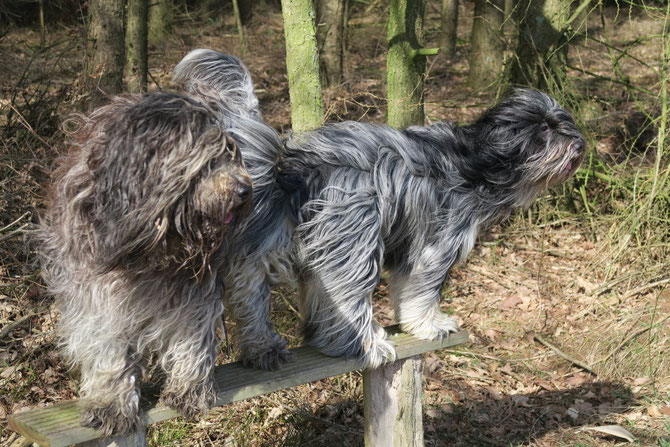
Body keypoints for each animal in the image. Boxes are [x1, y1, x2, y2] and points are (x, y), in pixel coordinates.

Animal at [40, 89, 255, 436]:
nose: (244, 190)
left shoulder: (195, 290)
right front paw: (111, 404)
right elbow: (106, 345)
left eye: (231, 154)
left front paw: (189, 389)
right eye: (207, 160)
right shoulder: (96, 289)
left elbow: (192, 337)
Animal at [175, 49, 588, 372]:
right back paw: (365, 345)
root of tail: (293, 164)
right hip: (354, 235)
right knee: (346, 296)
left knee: (251, 289)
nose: (580, 145)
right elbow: (422, 292)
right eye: (545, 130)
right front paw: (430, 326)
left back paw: (264, 348)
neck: (476, 162)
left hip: (271, 241)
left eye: (562, 122)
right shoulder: (437, 244)